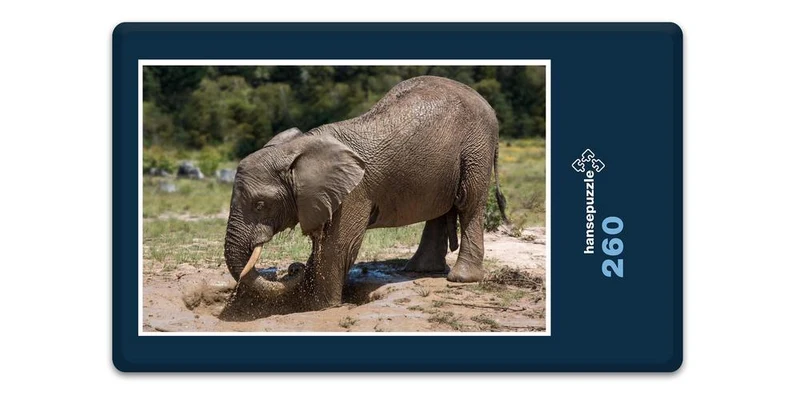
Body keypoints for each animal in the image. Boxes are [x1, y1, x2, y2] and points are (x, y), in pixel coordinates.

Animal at [223, 75, 508, 313]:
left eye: (260, 204)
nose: (292, 268)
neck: (298, 148)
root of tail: (487, 104)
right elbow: (322, 244)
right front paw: (304, 295)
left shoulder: (354, 192)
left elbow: (338, 246)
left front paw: (319, 307)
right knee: (439, 210)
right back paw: (418, 269)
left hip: (476, 147)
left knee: (469, 203)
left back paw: (460, 278)